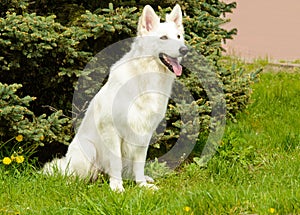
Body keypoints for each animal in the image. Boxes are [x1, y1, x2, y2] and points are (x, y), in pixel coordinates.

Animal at [42, 3, 188, 191]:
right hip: (88, 150)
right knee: (73, 175)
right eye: (163, 37)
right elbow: (116, 162)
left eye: (178, 37)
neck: (145, 77)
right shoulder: (111, 131)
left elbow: (139, 164)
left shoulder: (144, 133)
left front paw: (141, 185)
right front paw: (117, 188)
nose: (185, 50)